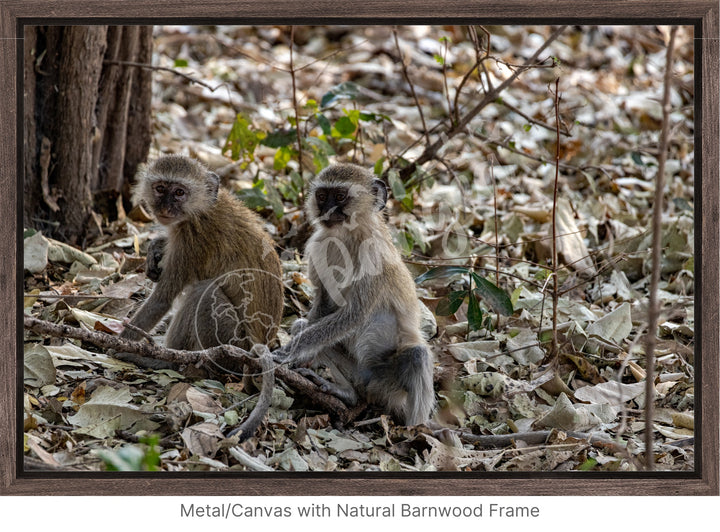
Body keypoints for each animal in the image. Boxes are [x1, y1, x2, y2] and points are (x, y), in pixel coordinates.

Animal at [274, 164, 434, 426]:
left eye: (340, 196)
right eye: (322, 196)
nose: (327, 210)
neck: (347, 237)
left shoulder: (374, 255)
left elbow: (354, 315)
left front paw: (288, 352)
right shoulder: (318, 245)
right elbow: (324, 306)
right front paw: (296, 355)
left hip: (389, 383)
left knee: (417, 356)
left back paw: (417, 429)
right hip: (357, 373)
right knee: (302, 326)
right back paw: (346, 392)